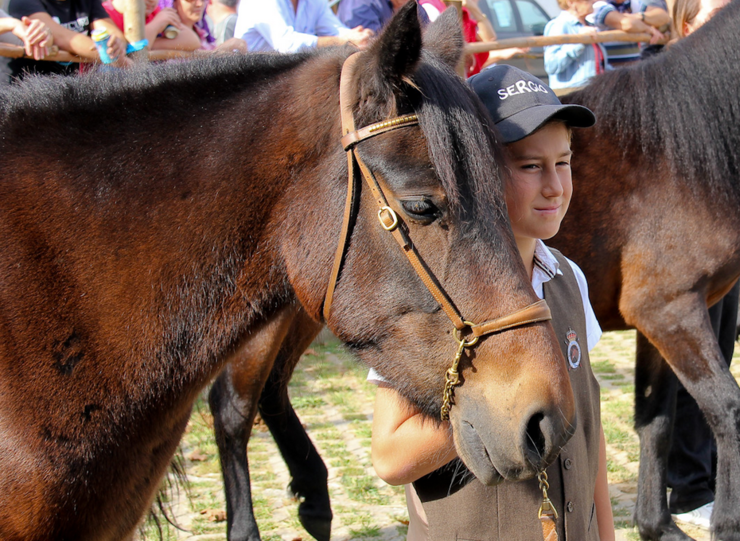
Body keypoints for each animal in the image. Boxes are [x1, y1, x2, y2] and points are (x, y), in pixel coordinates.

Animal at [212, 1, 740, 540]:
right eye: (420, 206)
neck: (672, 155)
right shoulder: (668, 310)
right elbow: (725, 406)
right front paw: (726, 522)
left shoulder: (660, 316)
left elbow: (657, 417)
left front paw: (657, 525)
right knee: (232, 404)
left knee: (271, 390)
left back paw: (314, 500)